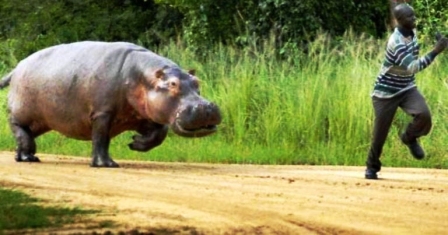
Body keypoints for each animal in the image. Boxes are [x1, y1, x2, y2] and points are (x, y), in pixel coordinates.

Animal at [0, 41, 220, 168]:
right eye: (173, 84)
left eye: (197, 82)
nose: (206, 107)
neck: (143, 77)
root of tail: (17, 67)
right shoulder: (102, 113)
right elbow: (100, 138)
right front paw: (106, 164)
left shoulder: (142, 115)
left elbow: (159, 134)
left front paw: (135, 143)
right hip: (23, 113)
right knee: (18, 127)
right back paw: (29, 159)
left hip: (42, 122)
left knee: (25, 136)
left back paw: (23, 157)